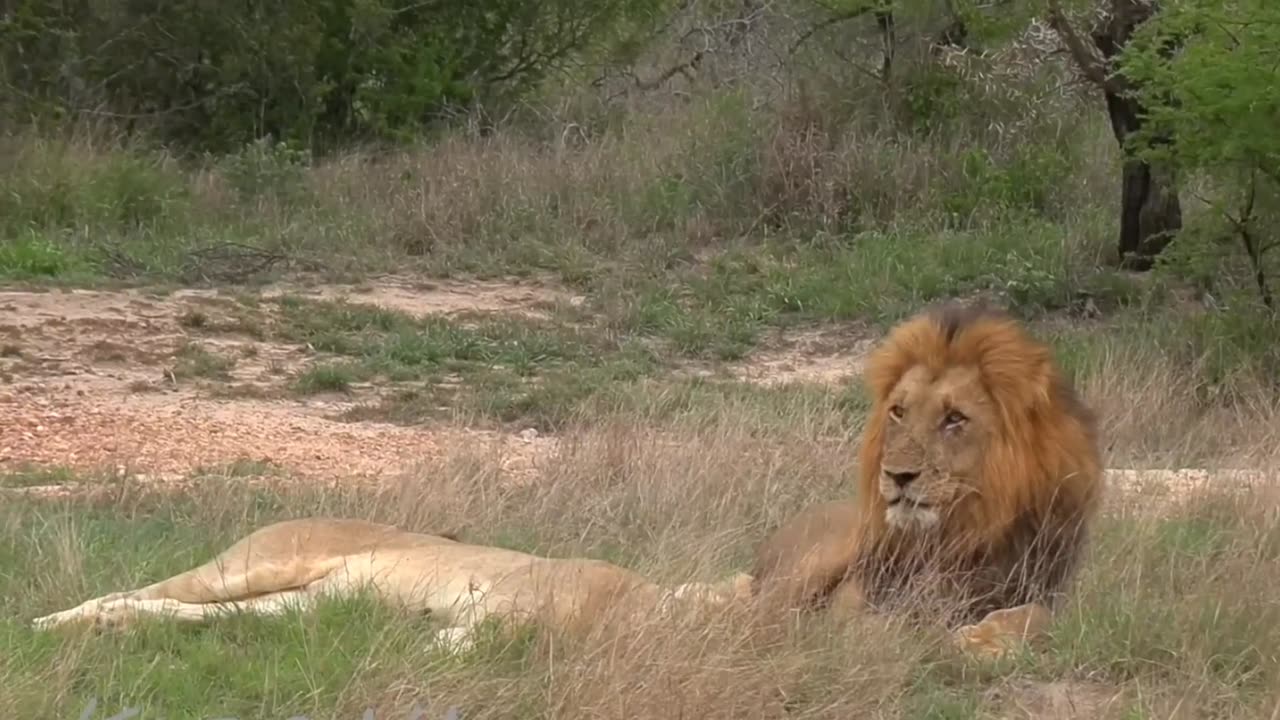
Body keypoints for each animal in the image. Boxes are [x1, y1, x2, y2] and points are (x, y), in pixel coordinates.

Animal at [747, 302, 1100, 655]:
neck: (966, 532)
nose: (897, 475)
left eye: (954, 418)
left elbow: (1036, 616)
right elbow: (871, 619)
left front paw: (982, 640)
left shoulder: (1060, 594)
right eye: (898, 411)